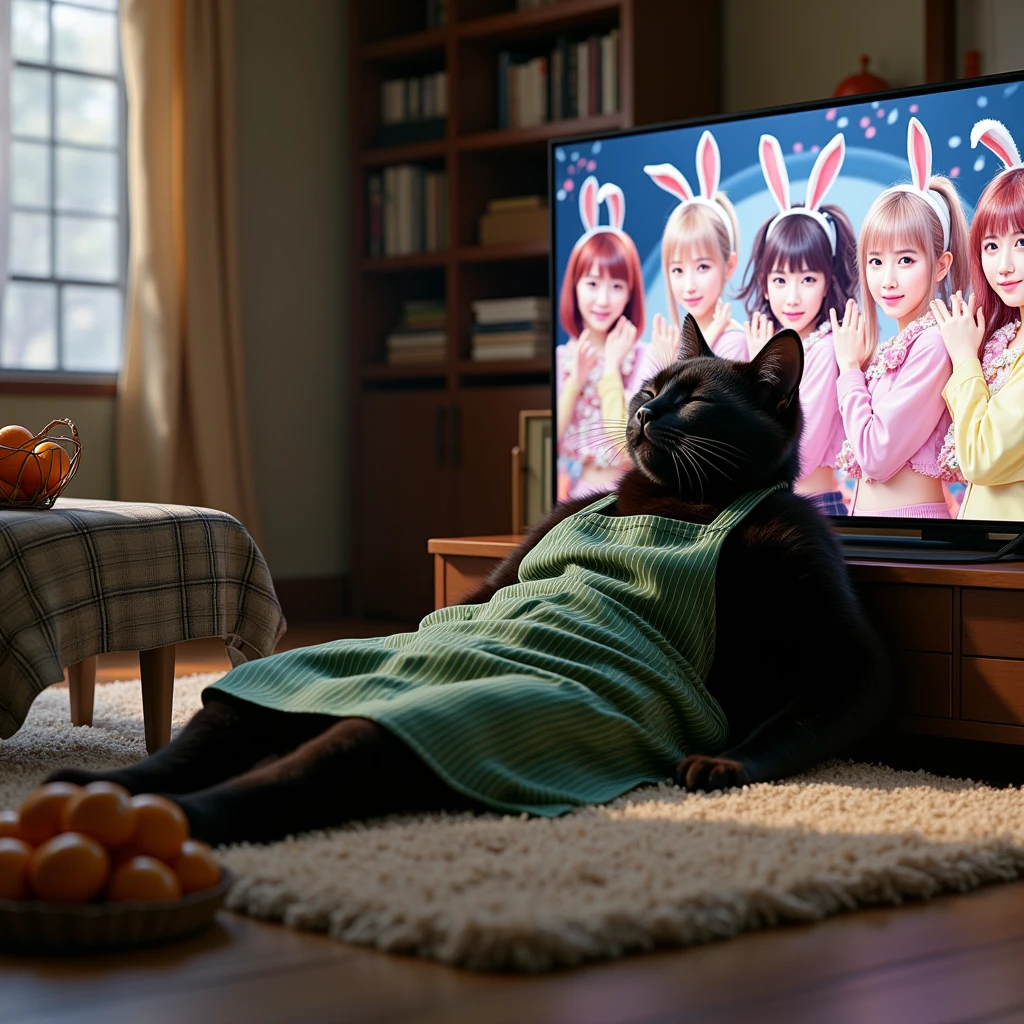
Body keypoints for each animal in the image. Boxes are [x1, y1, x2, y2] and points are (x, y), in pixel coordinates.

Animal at [48, 315, 888, 843]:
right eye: (651, 389)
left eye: (698, 401)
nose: (646, 414)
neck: (675, 502)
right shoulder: (536, 536)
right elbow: (480, 595)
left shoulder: (821, 597)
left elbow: (806, 708)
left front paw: (726, 763)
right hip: (283, 682)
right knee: (205, 735)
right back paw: (88, 789)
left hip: (445, 723)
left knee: (294, 769)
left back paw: (161, 820)